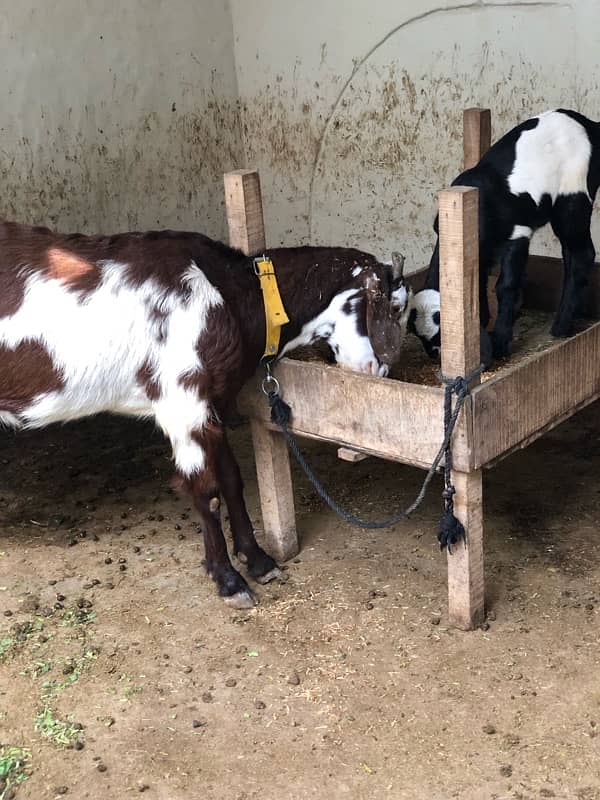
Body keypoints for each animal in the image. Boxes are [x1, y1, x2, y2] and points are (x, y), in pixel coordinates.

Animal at [0, 220, 408, 608]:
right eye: (395, 307)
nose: (380, 370)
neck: (233, 296)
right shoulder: (183, 402)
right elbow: (207, 493)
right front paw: (228, 580)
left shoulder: (213, 405)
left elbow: (232, 480)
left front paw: (258, 560)